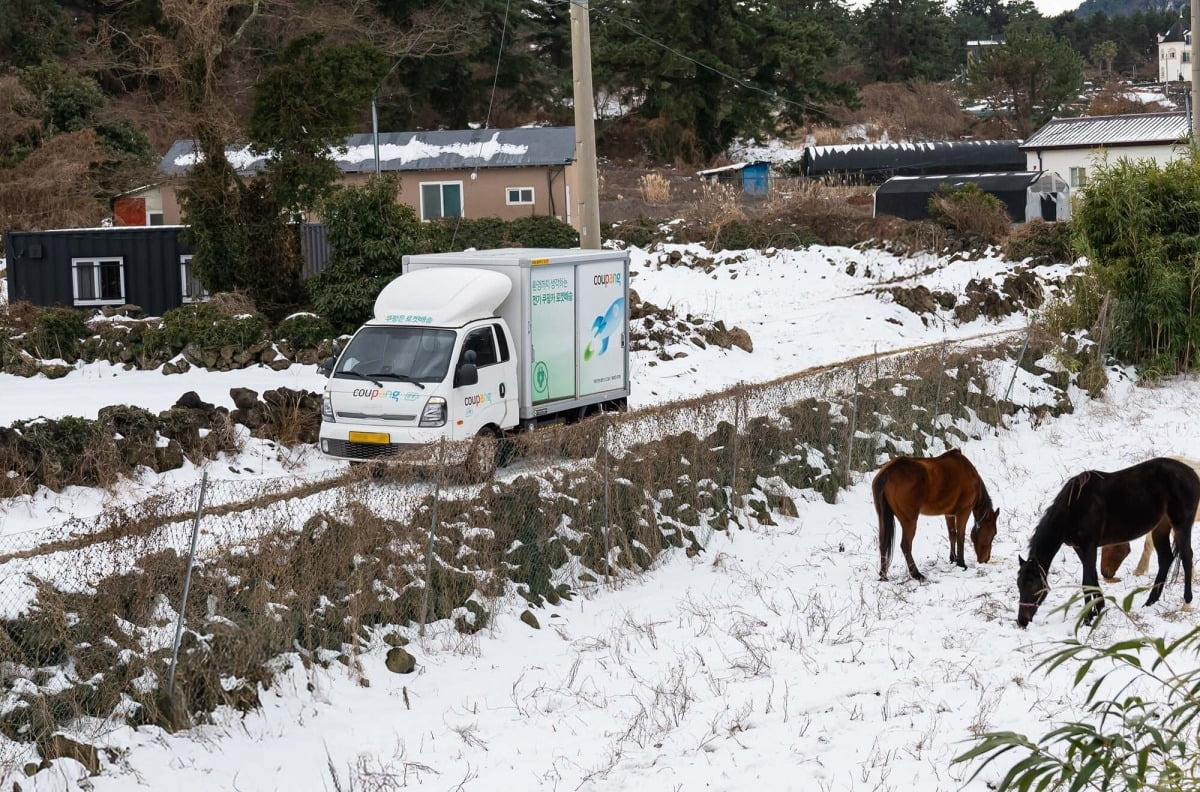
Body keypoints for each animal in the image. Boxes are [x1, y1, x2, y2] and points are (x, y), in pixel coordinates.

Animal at [878, 451, 998, 580]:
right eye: (994, 533)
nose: (986, 559)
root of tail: (888, 472)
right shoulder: (963, 511)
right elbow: (960, 536)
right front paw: (961, 563)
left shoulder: (949, 514)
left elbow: (952, 535)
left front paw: (953, 559)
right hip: (909, 521)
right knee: (905, 545)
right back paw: (916, 574)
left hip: (882, 518)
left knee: (883, 543)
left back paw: (883, 575)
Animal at [1017, 453, 1195, 628]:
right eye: (1019, 584)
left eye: (1034, 586)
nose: (1022, 621)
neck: (1074, 507)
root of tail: (1191, 473)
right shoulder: (1080, 548)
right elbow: (1092, 579)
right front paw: (1097, 609)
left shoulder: (1089, 545)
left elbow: (1087, 581)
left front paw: (1088, 618)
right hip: (1161, 527)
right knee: (1165, 558)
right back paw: (1150, 601)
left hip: (1181, 525)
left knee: (1186, 557)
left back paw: (1187, 602)